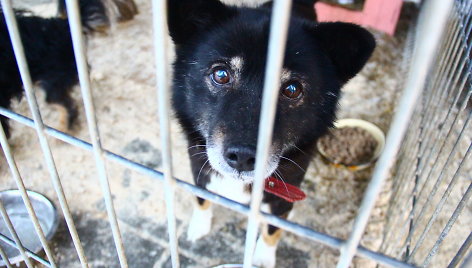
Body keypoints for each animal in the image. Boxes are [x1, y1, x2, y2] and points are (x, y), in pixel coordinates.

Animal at [168, 0, 374, 266]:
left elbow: (273, 229)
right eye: (221, 74)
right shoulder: (200, 169)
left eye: (292, 89)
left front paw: (263, 257)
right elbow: (201, 197)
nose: (243, 157)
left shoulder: (284, 196)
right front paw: (199, 225)